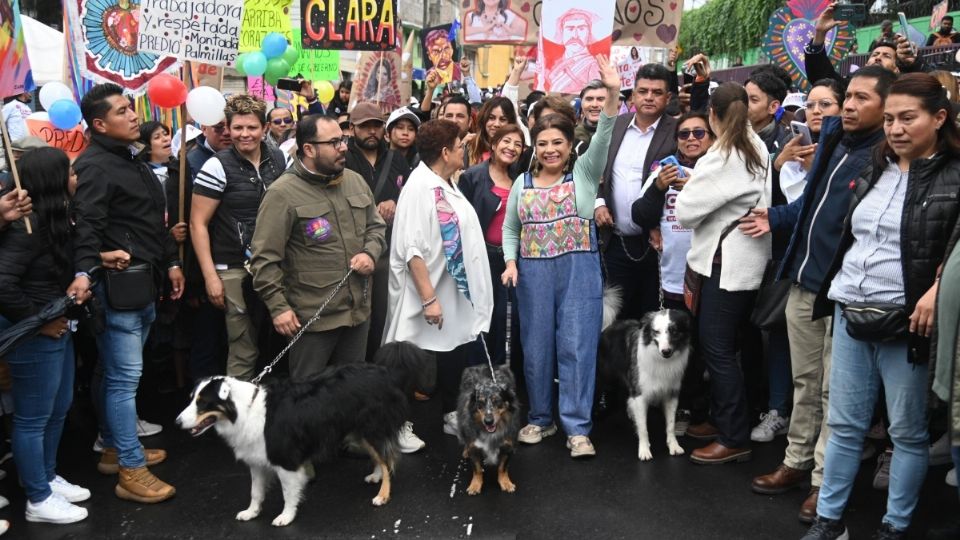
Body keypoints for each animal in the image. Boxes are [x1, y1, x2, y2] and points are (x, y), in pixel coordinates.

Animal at [176, 344, 424, 524]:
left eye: (203, 403)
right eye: (191, 398)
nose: (177, 423)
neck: (243, 410)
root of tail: (385, 372)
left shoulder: (285, 460)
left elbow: (288, 492)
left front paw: (286, 516)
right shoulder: (256, 461)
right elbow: (255, 491)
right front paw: (251, 512)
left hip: (372, 428)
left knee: (388, 458)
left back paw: (383, 494)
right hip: (359, 431)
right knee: (381, 457)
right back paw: (376, 475)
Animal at [456, 364, 520, 496]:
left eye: (497, 401)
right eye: (480, 402)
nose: (488, 421)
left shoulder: (508, 446)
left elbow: (502, 468)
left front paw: (505, 483)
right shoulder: (474, 447)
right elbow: (477, 469)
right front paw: (475, 485)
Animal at [600, 310, 688, 462]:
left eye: (674, 331)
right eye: (656, 332)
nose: (665, 351)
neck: (661, 360)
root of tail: (609, 325)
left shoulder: (671, 393)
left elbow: (670, 425)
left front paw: (674, 446)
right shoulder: (640, 393)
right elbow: (643, 428)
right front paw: (644, 450)